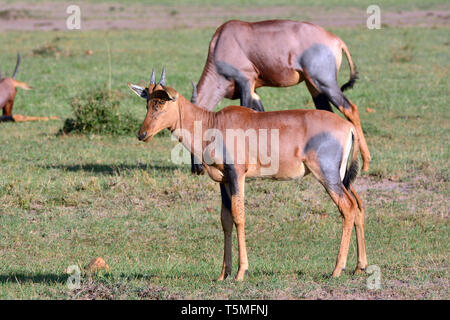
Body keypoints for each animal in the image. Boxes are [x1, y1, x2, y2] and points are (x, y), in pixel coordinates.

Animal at [128, 69, 368, 280]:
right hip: (341, 177)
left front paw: (241, 273)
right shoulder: (224, 180)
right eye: (147, 103)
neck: (213, 123)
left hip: (327, 174)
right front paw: (223, 274)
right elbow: (225, 219)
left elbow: (239, 216)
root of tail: (348, 127)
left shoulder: (237, 174)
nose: (142, 134)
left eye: (161, 102)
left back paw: (337, 270)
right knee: (357, 205)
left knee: (347, 208)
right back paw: (359, 267)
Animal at [192, 19, 370, 175]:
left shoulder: (246, 82)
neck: (224, 41)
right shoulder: (254, 90)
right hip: (313, 85)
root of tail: (336, 40)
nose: (197, 170)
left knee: (350, 108)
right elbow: (261, 116)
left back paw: (366, 163)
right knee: (326, 110)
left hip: (324, 82)